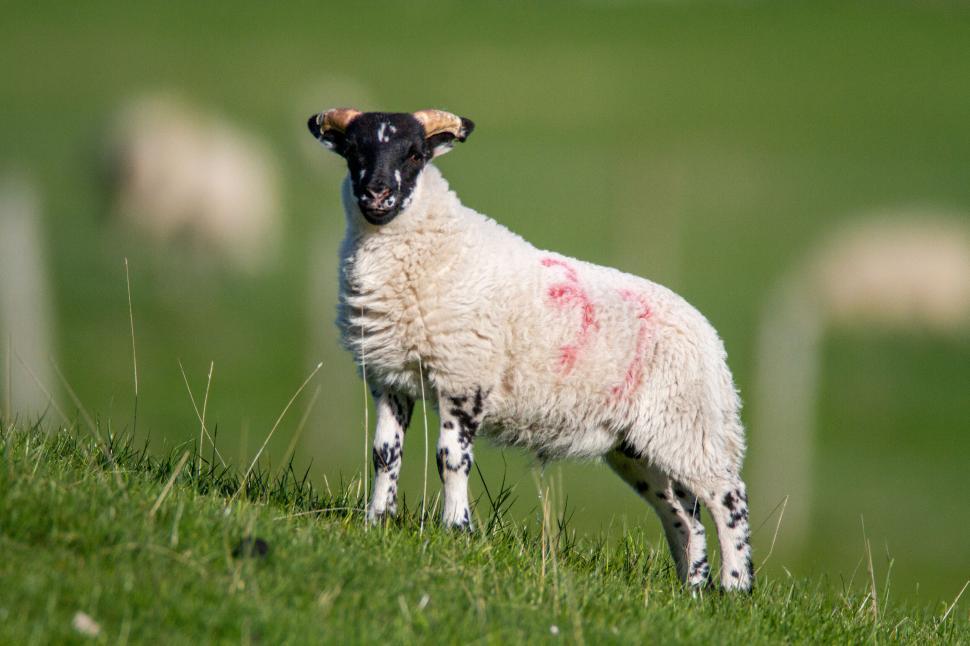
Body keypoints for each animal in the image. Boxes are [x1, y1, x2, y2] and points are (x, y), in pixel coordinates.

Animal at [307, 108, 753, 591]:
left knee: (727, 498)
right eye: (354, 150)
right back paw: (690, 588)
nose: (377, 193)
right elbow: (384, 454)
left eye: (414, 155)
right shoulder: (389, 377)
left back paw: (734, 587)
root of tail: (711, 340)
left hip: (690, 424)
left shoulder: (465, 378)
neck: (431, 248)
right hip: (638, 444)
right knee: (684, 514)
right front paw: (377, 522)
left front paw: (456, 531)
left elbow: (451, 459)